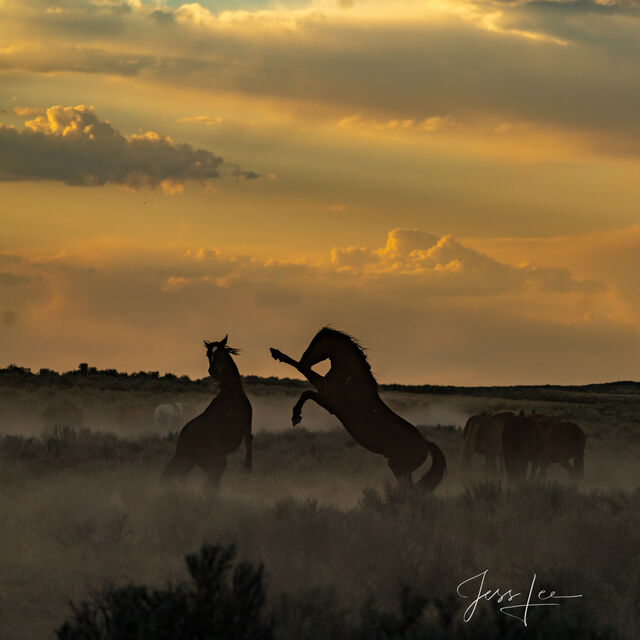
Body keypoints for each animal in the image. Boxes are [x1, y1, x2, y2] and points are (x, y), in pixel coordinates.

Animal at [162, 338, 252, 488]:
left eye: (221, 353)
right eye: (208, 354)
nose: (212, 371)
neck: (232, 399)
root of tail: (181, 438)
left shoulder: (246, 425)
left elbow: (250, 439)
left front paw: (248, 464)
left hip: (192, 461)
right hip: (192, 458)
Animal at [268, 328, 444, 492]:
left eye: (318, 342)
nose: (305, 359)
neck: (350, 379)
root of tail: (426, 444)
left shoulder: (329, 401)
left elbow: (305, 385)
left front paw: (296, 416)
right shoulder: (324, 390)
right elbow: (305, 380)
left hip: (399, 468)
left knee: (409, 489)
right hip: (403, 470)